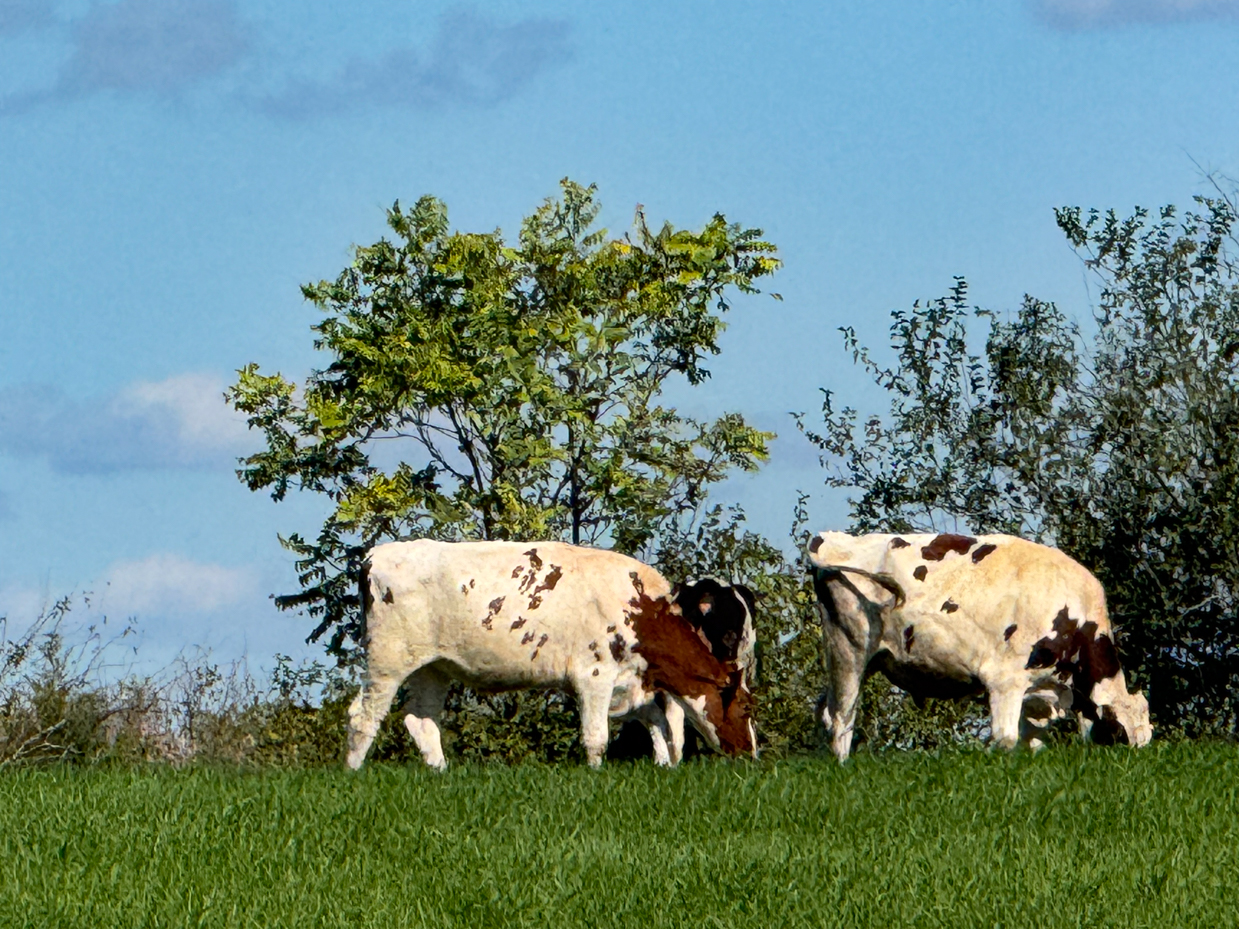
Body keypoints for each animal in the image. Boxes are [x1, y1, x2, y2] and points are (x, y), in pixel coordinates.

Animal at [344, 537, 758, 772]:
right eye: (746, 708)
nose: (752, 754)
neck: (642, 609)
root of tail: (376, 554)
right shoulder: (595, 676)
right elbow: (597, 737)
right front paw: (595, 776)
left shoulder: (634, 685)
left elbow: (661, 726)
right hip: (387, 658)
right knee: (362, 716)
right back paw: (352, 773)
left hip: (433, 668)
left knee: (421, 721)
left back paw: (440, 772)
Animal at [802, 535, 1149, 758]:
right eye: (1120, 734)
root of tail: (830, 539)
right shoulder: (1006, 680)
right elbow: (1005, 739)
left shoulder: (1042, 694)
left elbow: (1033, 743)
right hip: (850, 649)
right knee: (841, 717)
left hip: (861, 657)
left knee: (824, 710)